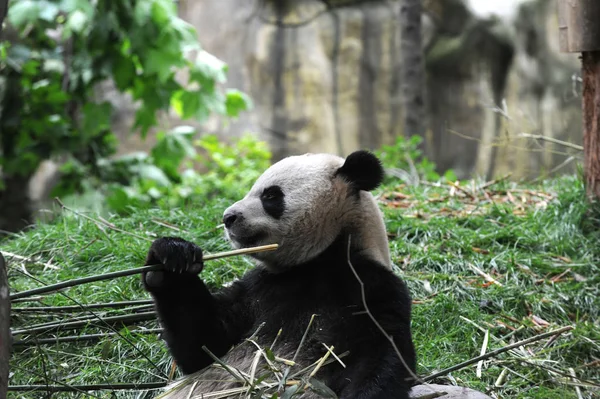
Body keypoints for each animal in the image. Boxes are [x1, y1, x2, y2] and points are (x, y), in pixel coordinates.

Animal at [142, 152, 414, 398]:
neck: (315, 263)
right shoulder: (257, 289)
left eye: (270, 195)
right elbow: (203, 345)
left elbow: (381, 354)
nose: (228, 217)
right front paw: (173, 257)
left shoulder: (369, 287)